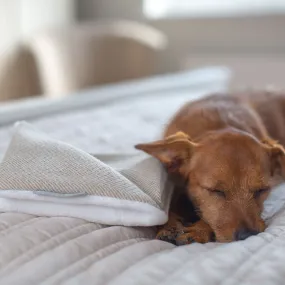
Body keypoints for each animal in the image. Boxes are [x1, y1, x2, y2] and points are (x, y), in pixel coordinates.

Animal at [134, 91, 284, 244]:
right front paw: (169, 226)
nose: (247, 235)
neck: (219, 124)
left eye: (262, 190)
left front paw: (199, 230)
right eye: (216, 190)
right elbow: (168, 207)